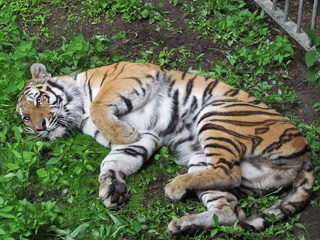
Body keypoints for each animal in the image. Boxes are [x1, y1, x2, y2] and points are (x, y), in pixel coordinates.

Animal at [16, 62, 314, 236]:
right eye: (25, 117)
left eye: (39, 99)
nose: (40, 127)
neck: (77, 114)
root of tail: (308, 155)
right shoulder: (144, 139)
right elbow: (112, 162)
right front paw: (111, 189)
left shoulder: (131, 75)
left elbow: (100, 104)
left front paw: (122, 132)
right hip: (202, 159)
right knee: (228, 210)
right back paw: (181, 224)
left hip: (217, 113)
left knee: (229, 173)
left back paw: (174, 188)